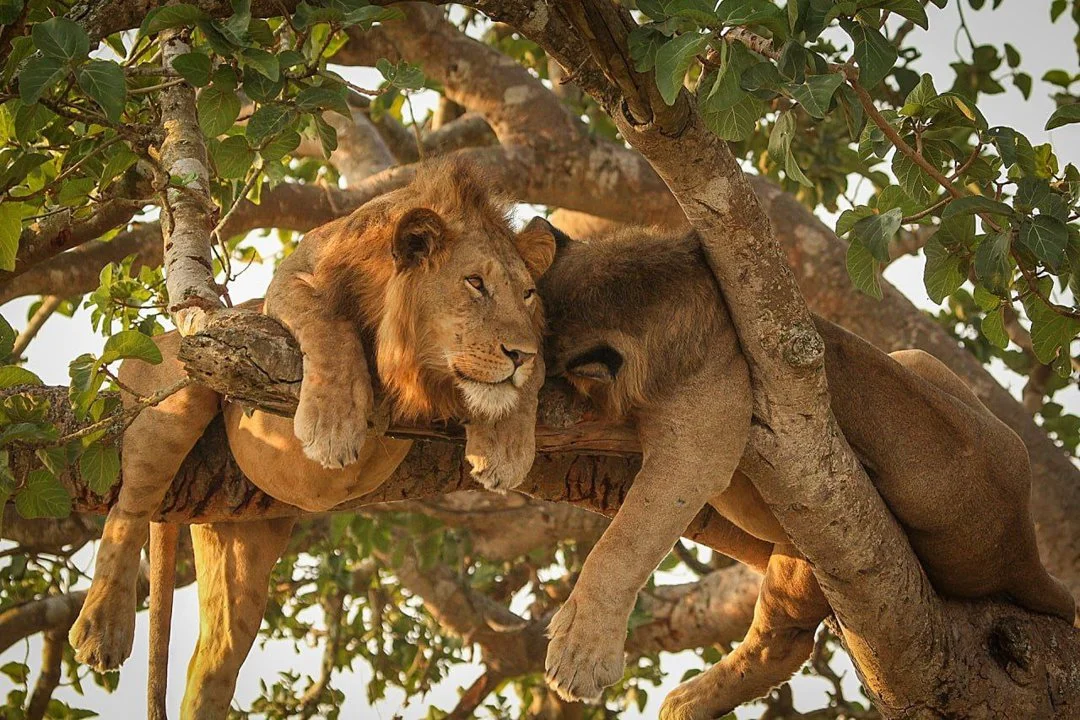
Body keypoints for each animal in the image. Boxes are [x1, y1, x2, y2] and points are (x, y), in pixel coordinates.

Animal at [66, 158, 557, 719]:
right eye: (475, 283)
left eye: (528, 294)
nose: (519, 354)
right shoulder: (294, 275)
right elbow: (328, 323)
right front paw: (333, 425)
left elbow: (534, 380)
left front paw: (507, 442)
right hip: (180, 382)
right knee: (129, 507)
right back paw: (101, 627)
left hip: (239, 547)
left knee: (212, 665)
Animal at [525, 219, 1076, 719]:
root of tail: (1023, 545)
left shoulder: (700, 443)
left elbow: (626, 540)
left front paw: (579, 654)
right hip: (915, 357)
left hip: (825, 534)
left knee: (782, 642)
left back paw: (687, 702)